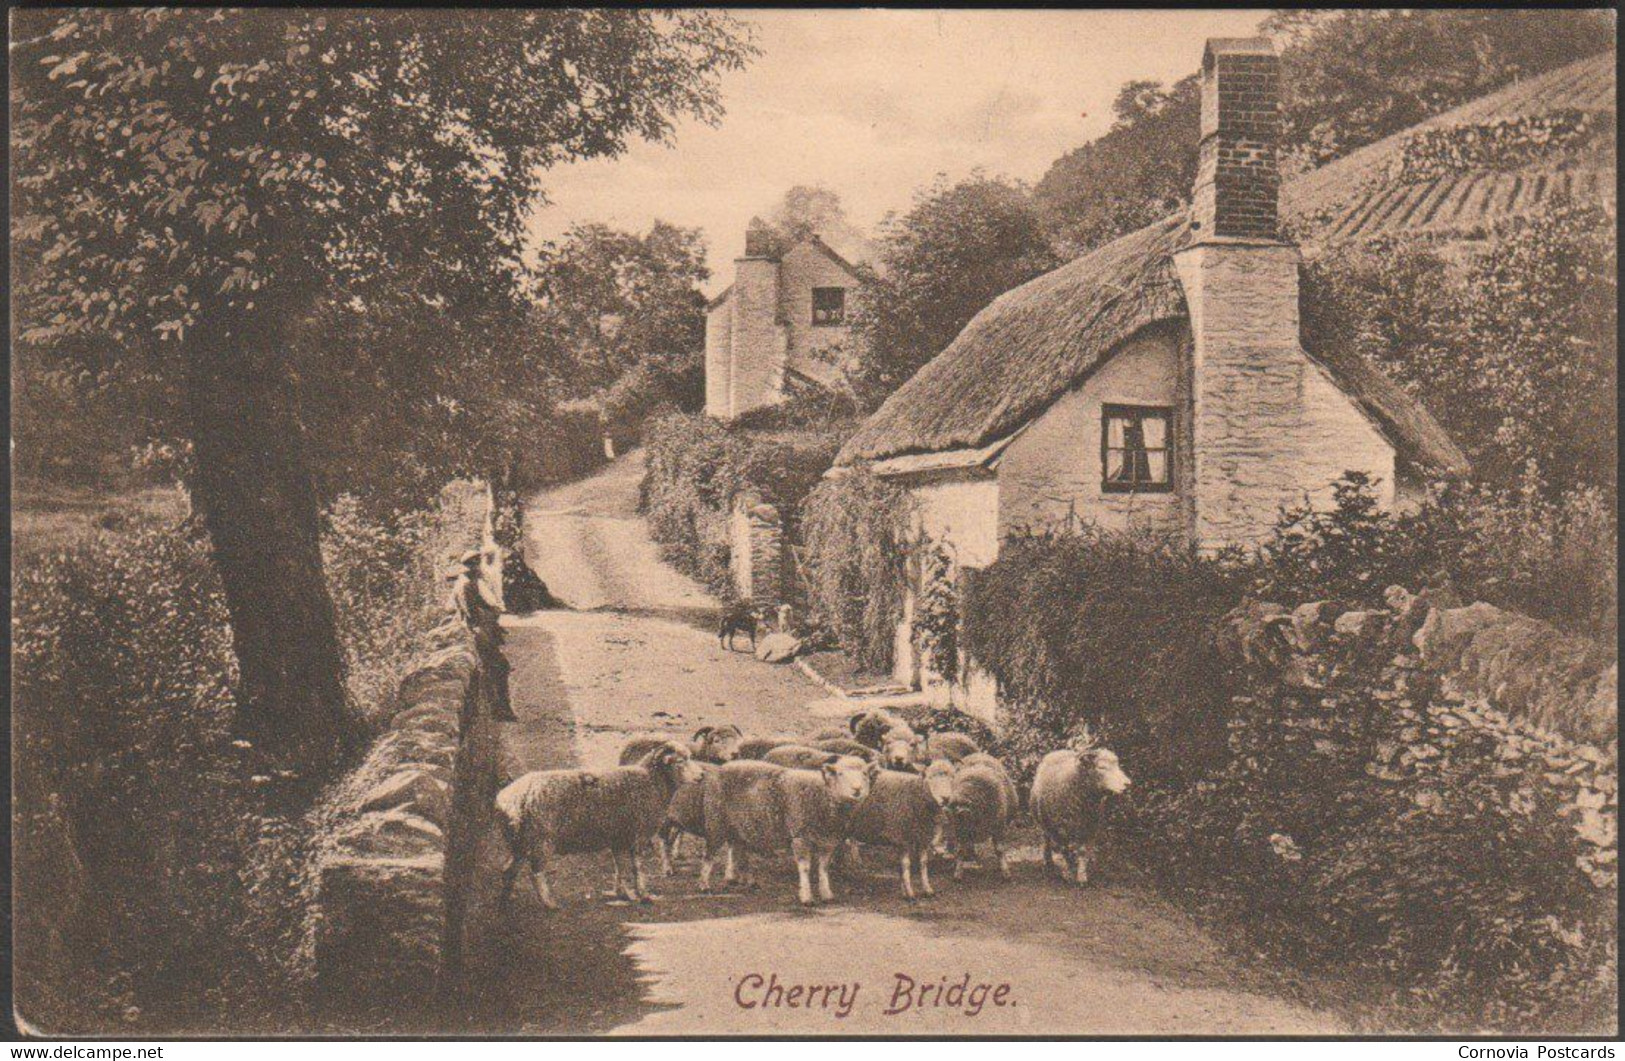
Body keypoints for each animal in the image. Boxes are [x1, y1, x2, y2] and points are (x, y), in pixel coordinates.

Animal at [490, 740, 702, 903]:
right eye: (680, 761)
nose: (701, 776)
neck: (651, 781)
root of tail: (504, 799)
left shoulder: (619, 838)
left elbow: (620, 867)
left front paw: (623, 893)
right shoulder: (637, 836)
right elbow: (637, 868)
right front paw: (644, 894)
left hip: (520, 841)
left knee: (508, 869)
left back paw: (507, 898)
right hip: (540, 840)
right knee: (536, 873)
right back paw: (549, 903)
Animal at [698, 753, 877, 903]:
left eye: (864, 774)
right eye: (840, 774)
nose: (857, 789)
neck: (822, 795)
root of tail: (722, 767)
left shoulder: (828, 840)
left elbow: (823, 868)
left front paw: (826, 894)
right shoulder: (800, 836)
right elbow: (805, 868)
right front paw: (806, 897)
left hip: (739, 826)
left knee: (738, 849)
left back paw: (744, 880)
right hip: (716, 820)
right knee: (710, 854)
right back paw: (704, 885)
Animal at [845, 757, 955, 896]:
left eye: (952, 777)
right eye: (929, 777)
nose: (945, 798)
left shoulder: (923, 836)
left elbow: (923, 863)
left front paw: (926, 888)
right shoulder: (902, 836)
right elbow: (906, 864)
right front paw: (909, 892)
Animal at [942, 747, 1014, 883]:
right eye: (955, 805)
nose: (963, 811)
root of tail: (979, 753)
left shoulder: (999, 826)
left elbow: (999, 849)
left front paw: (1006, 873)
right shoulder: (959, 829)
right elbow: (960, 850)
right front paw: (958, 874)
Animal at [1027, 727, 1131, 883]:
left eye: (1117, 765)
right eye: (1101, 767)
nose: (1127, 784)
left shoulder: (1090, 828)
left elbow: (1082, 851)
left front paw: (1082, 875)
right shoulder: (1059, 829)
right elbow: (1064, 849)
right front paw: (1070, 873)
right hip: (1044, 822)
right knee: (1046, 840)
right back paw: (1048, 862)